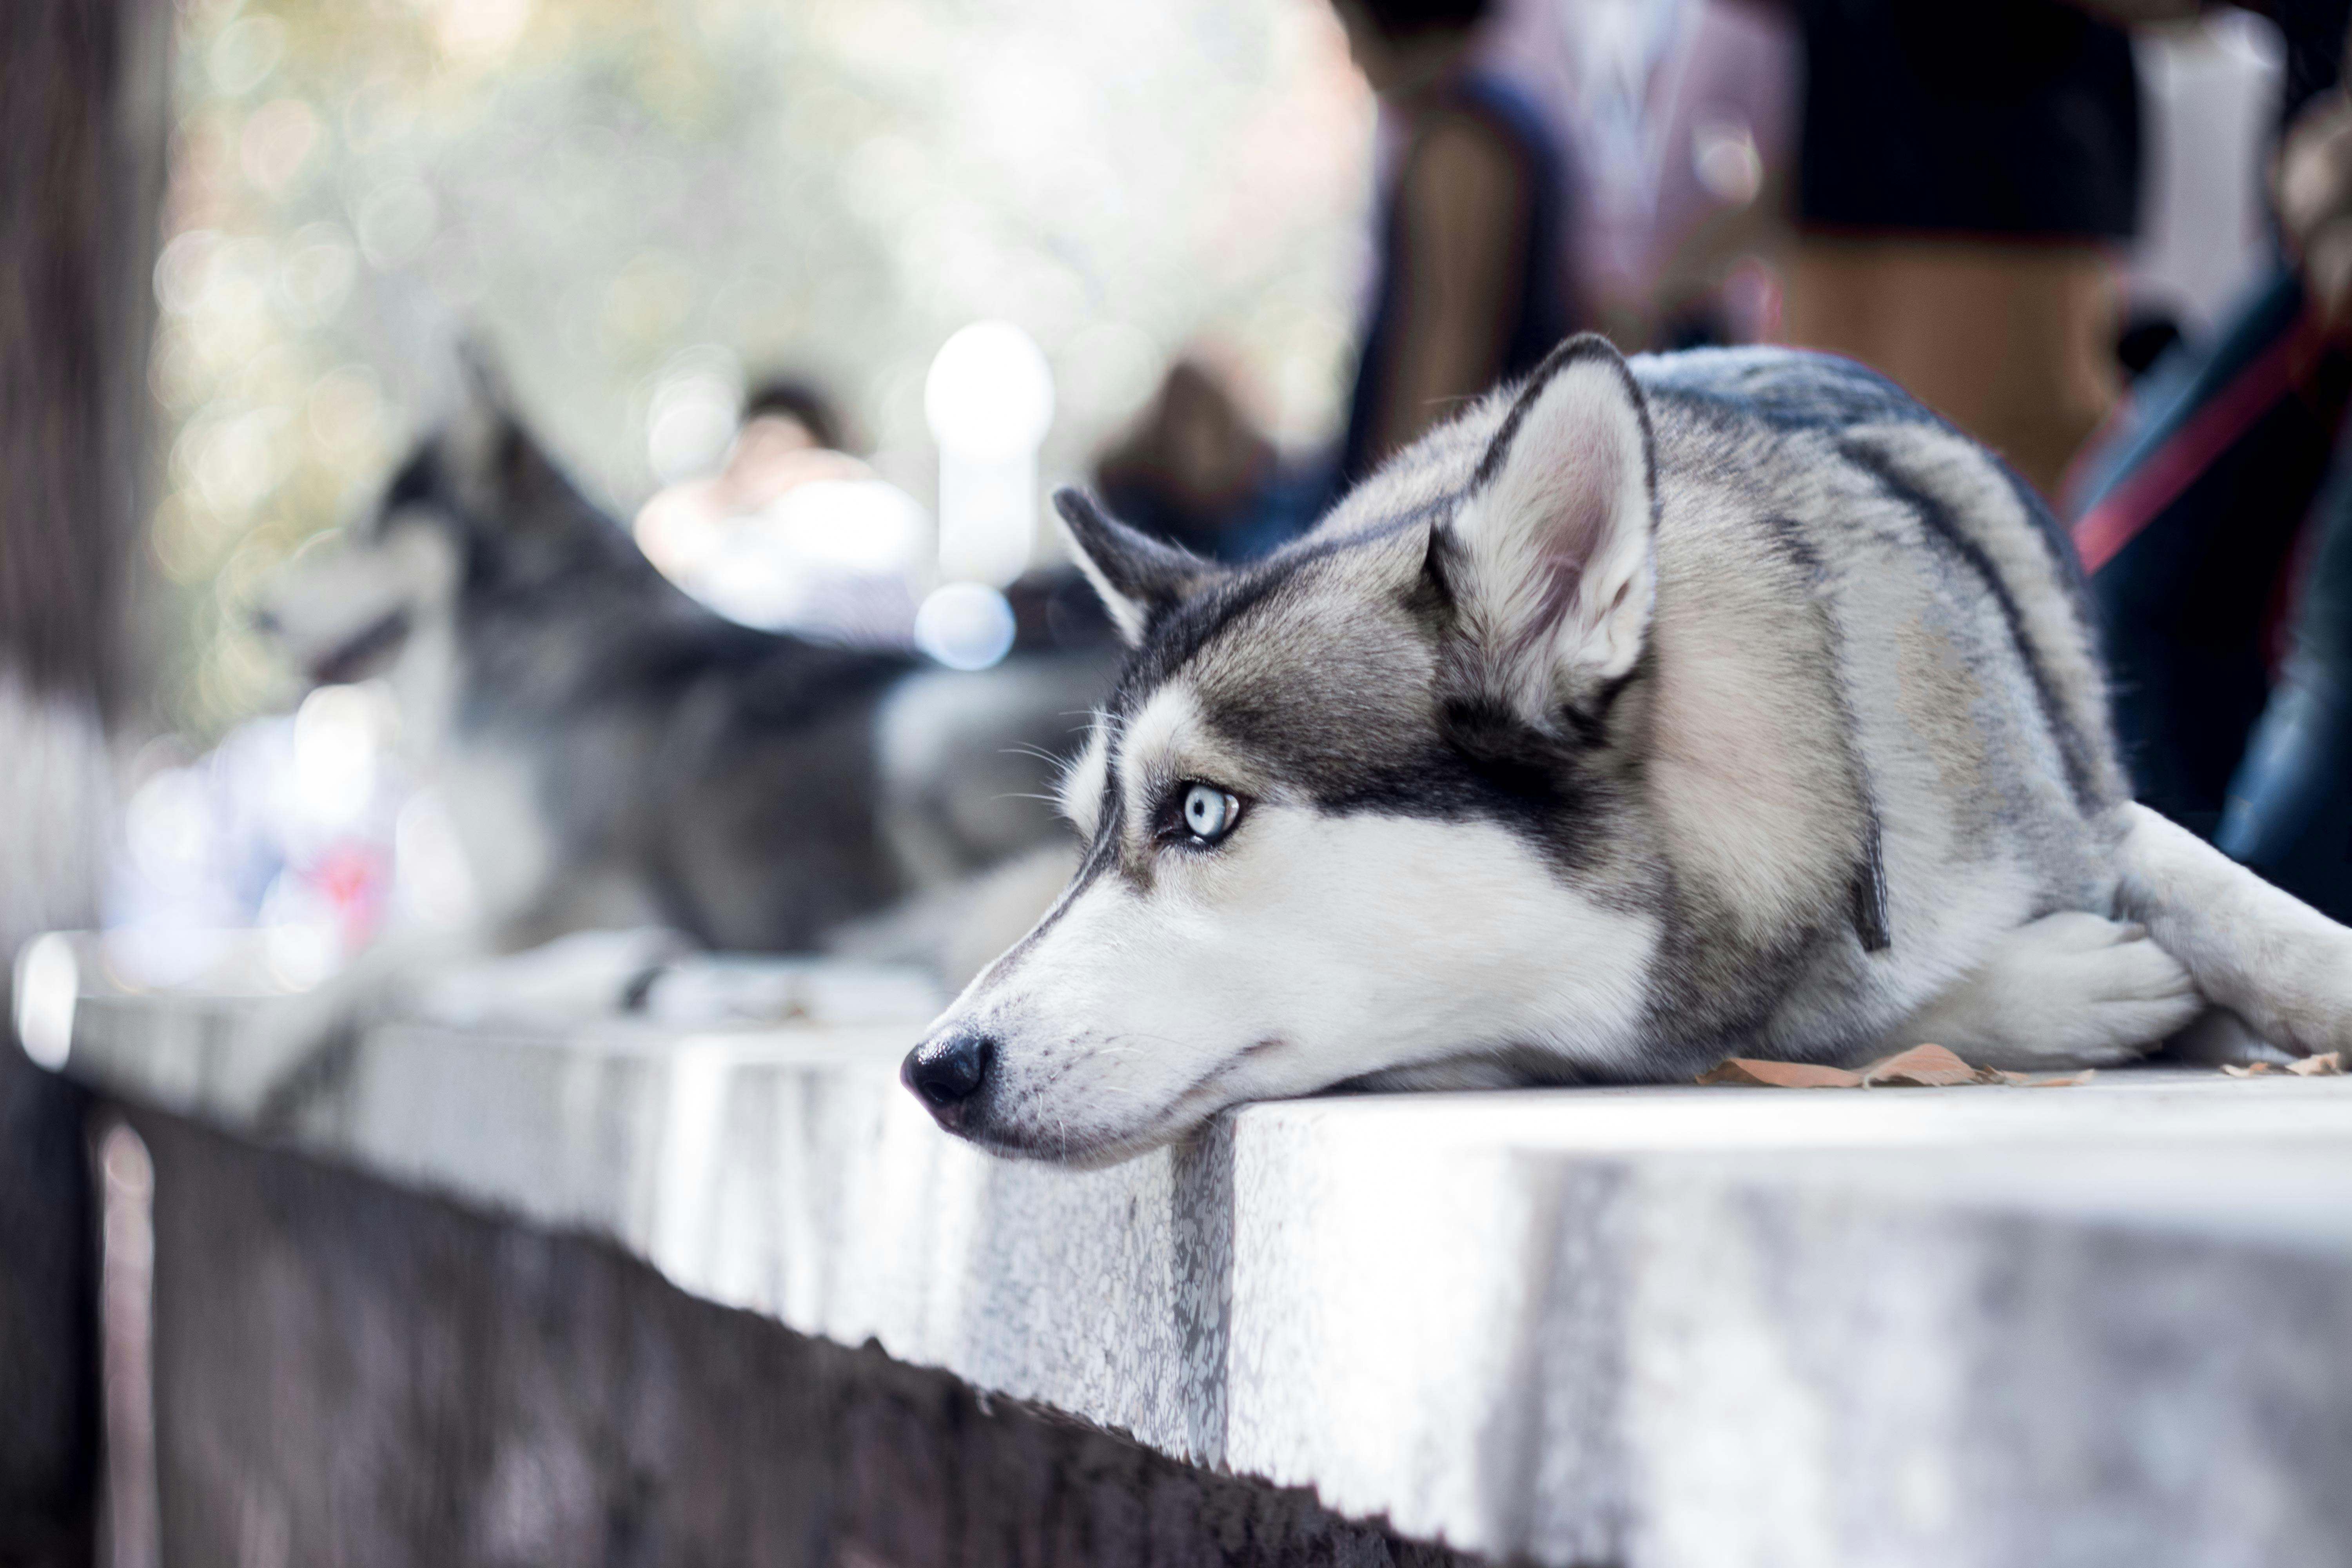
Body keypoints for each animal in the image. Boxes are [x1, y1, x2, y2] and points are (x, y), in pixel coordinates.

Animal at [908, 334, 2352, 1166]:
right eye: (1090, 833)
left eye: (1201, 813)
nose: (934, 1068)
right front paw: (2057, 989)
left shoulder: (2091, 810)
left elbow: (2233, 893)